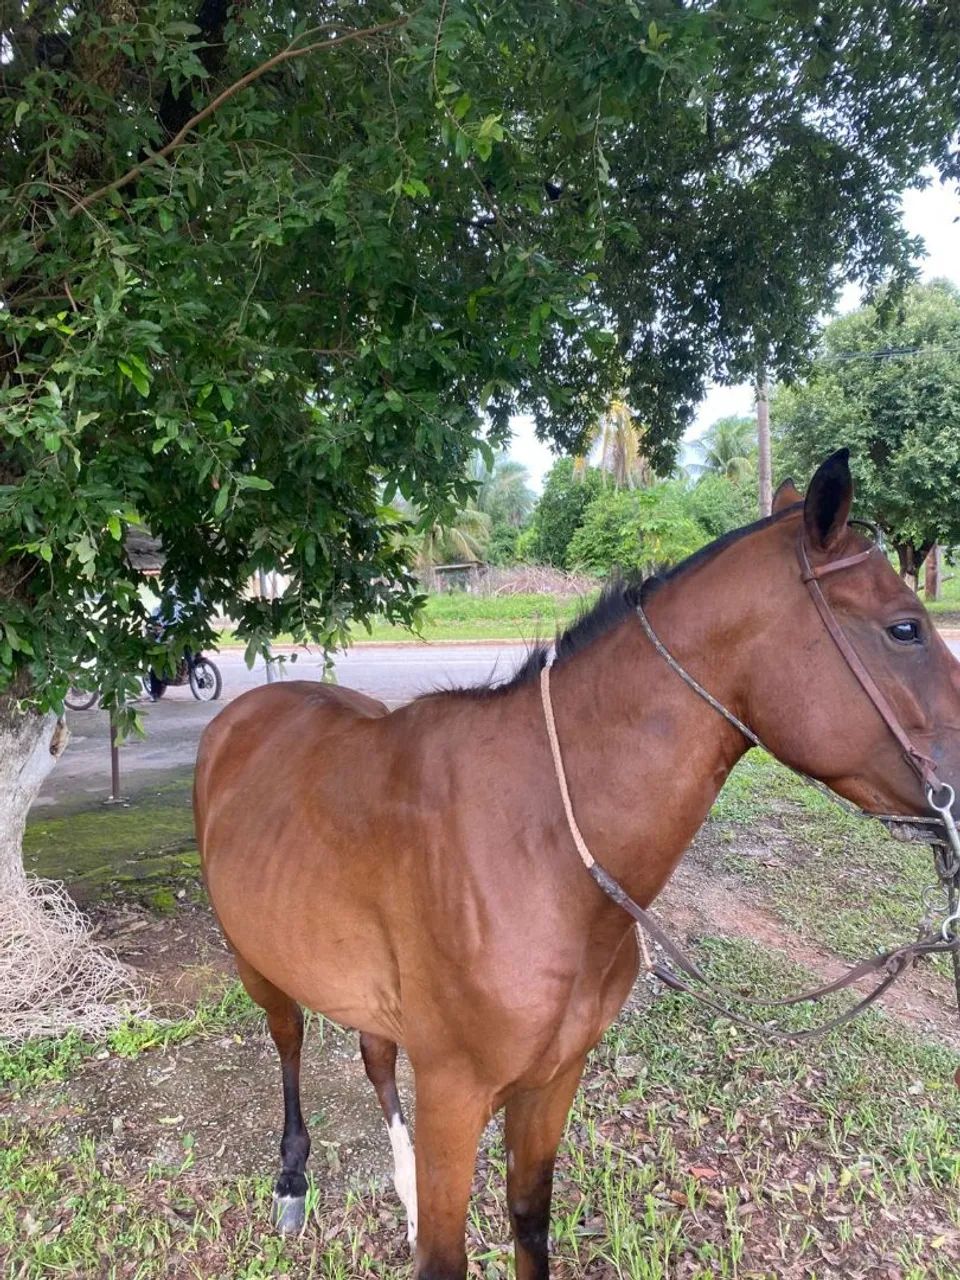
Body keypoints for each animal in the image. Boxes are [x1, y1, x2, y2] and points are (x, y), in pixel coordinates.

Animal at [193, 450, 960, 1280]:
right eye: (905, 628)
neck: (544, 851)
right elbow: (444, 1255)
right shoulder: (454, 1094)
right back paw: (292, 1178)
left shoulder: (553, 1081)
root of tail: (241, 717)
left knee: (373, 1052)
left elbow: (530, 1220)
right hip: (256, 960)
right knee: (290, 1039)